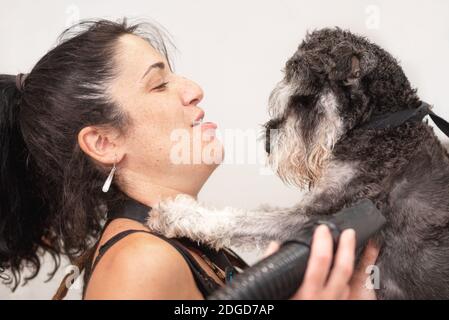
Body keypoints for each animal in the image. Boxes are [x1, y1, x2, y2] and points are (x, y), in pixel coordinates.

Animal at [147, 28, 448, 300]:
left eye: (304, 99)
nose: (269, 144)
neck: (384, 127)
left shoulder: (321, 216)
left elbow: (246, 220)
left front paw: (176, 214)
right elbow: (260, 212)